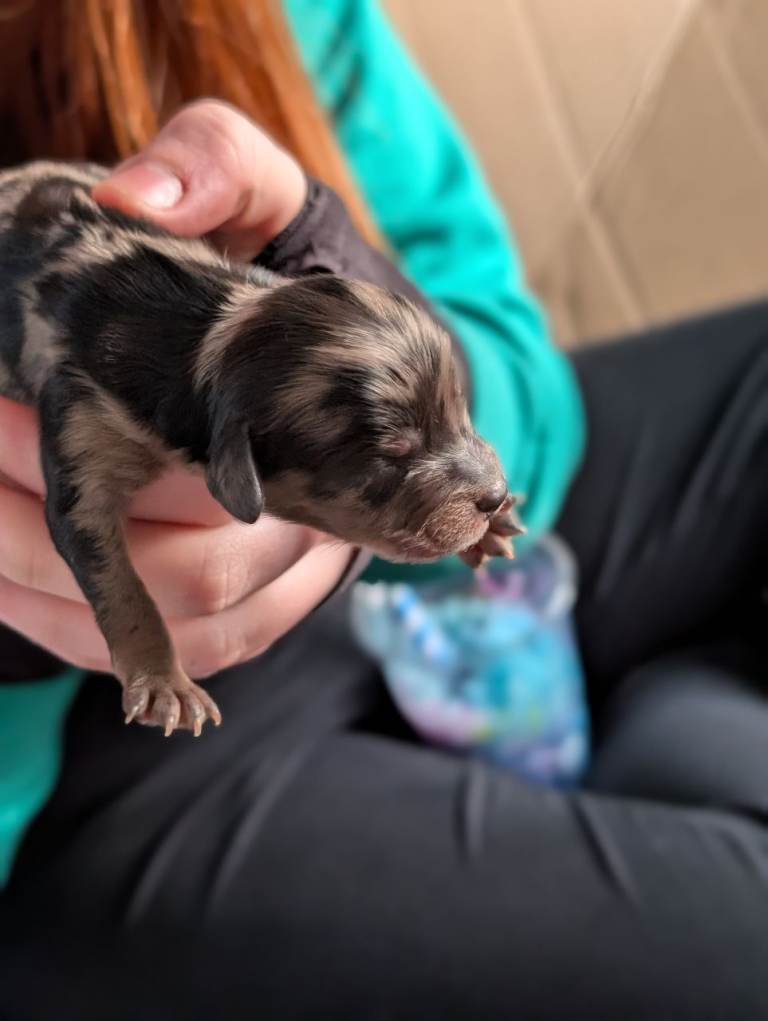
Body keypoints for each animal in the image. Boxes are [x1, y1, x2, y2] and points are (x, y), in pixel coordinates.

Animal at [0, 160, 524, 735]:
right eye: (394, 452)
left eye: (459, 410)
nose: (495, 494)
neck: (205, 337)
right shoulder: (82, 425)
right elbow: (119, 581)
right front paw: (165, 683)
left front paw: (494, 525)